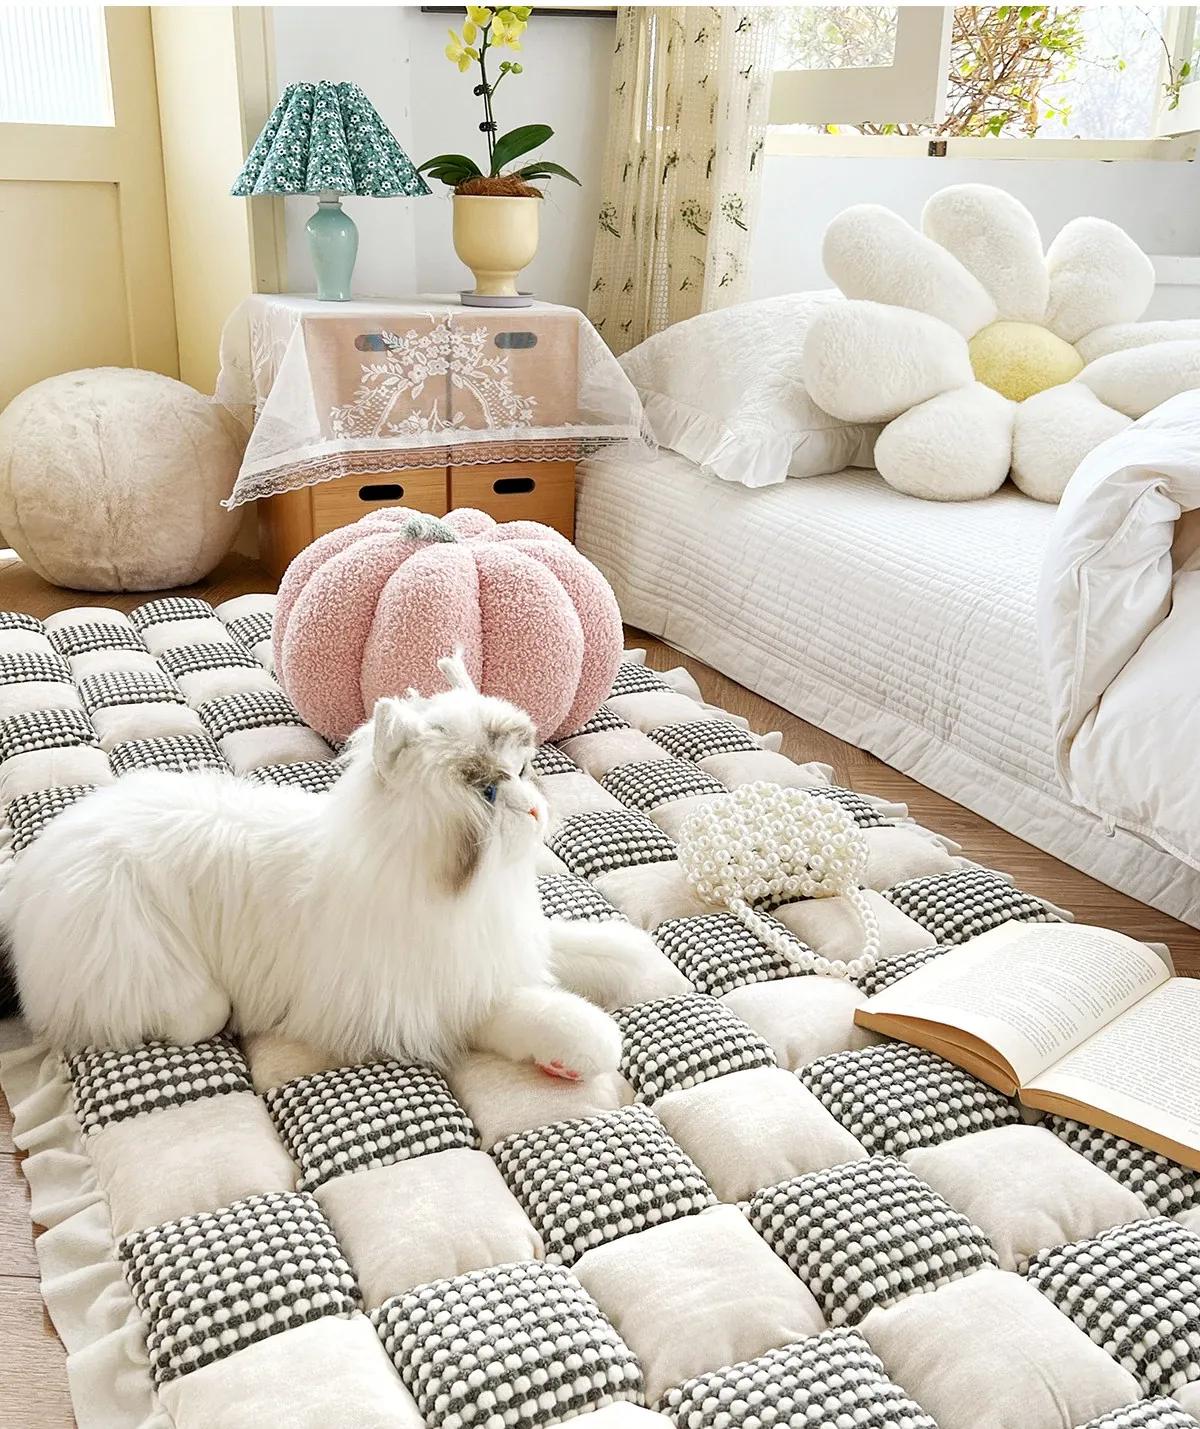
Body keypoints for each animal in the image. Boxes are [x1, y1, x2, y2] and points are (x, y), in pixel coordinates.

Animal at [4, 654, 648, 1079]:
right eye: (488, 793)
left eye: (520, 771)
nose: (537, 810)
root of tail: (35, 868)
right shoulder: (437, 1002)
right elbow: (534, 1014)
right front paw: (583, 1046)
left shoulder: (505, 945)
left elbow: (583, 947)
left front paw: (629, 959)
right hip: (145, 962)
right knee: (188, 1014)